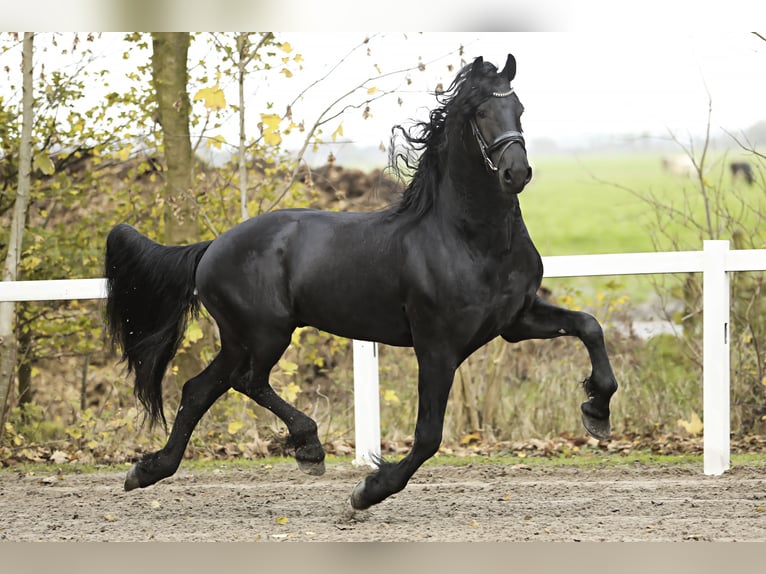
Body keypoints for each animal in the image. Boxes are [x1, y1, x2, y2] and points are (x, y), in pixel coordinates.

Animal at [105, 55, 616, 512]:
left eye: (520, 109)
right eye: (480, 112)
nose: (517, 172)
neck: (471, 240)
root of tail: (211, 246)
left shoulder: (515, 319)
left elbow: (589, 326)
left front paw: (597, 412)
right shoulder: (437, 344)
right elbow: (428, 436)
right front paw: (369, 491)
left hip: (239, 337)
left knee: (200, 389)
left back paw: (148, 470)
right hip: (266, 332)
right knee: (246, 380)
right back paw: (309, 448)